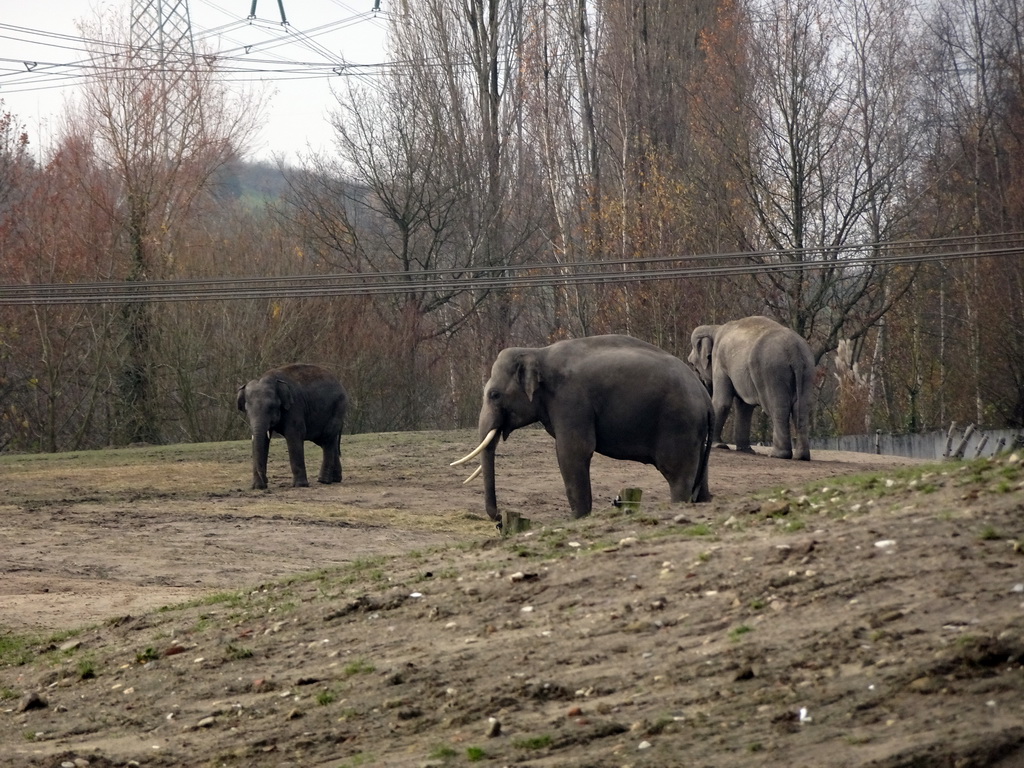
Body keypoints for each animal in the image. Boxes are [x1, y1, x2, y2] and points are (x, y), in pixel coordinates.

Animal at [237, 364, 350, 493]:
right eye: (247, 410)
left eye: (271, 407)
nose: (266, 480)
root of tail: (339, 383)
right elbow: (263, 440)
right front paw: (257, 487)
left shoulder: (294, 407)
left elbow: (293, 436)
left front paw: (300, 485)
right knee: (327, 441)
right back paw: (335, 479)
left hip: (338, 407)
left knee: (327, 439)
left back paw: (323, 481)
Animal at [452, 335, 716, 524]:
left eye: (494, 395)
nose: (499, 516)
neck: (537, 352)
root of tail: (706, 398)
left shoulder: (570, 400)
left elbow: (573, 451)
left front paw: (576, 518)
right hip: (695, 432)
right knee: (699, 477)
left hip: (678, 423)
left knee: (677, 474)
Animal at [688, 315, 815, 460]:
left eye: (692, 364)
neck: (715, 328)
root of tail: (795, 351)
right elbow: (745, 407)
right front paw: (745, 450)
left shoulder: (720, 361)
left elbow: (722, 402)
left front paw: (718, 445)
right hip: (807, 370)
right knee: (801, 409)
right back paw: (801, 456)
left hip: (772, 371)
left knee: (778, 408)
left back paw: (777, 455)